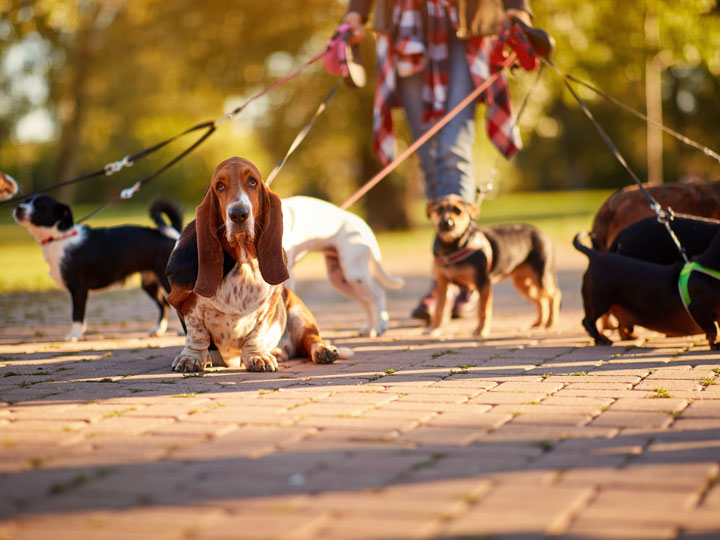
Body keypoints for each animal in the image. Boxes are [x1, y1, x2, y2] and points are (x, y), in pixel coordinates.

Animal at [14, 194, 183, 340]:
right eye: (25, 201)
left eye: (39, 205)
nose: (18, 208)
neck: (59, 238)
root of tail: (171, 235)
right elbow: (81, 316)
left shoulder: (79, 288)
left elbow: (77, 314)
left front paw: (74, 336)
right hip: (149, 282)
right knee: (164, 305)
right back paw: (158, 329)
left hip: (167, 281)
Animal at [167, 158, 352, 374]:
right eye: (219, 186)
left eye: (253, 182)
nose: (239, 214)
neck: (243, 261)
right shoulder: (186, 304)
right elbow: (197, 333)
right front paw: (191, 358)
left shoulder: (270, 302)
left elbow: (257, 332)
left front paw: (257, 356)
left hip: (299, 312)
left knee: (310, 338)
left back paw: (322, 350)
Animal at [282, 196, 404, 336]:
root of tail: (364, 226)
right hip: (342, 281)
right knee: (367, 301)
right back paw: (369, 328)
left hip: (354, 275)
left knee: (377, 295)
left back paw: (379, 326)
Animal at [424, 194, 560, 338]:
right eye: (439, 210)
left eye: (458, 211)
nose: (447, 223)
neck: (451, 247)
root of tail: (540, 232)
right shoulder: (442, 284)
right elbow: (438, 310)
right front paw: (434, 329)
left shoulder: (483, 283)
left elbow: (483, 310)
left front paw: (480, 330)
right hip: (523, 283)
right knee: (541, 300)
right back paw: (539, 323)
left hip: (541, 277)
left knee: (555, 295)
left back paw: (551, 323)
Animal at [576, 229, 720, 350]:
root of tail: (596, 256)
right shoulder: (697, 307)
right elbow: (713, 328)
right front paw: (715, 343)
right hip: (600, 301)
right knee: (588, 321)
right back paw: (601, 339)